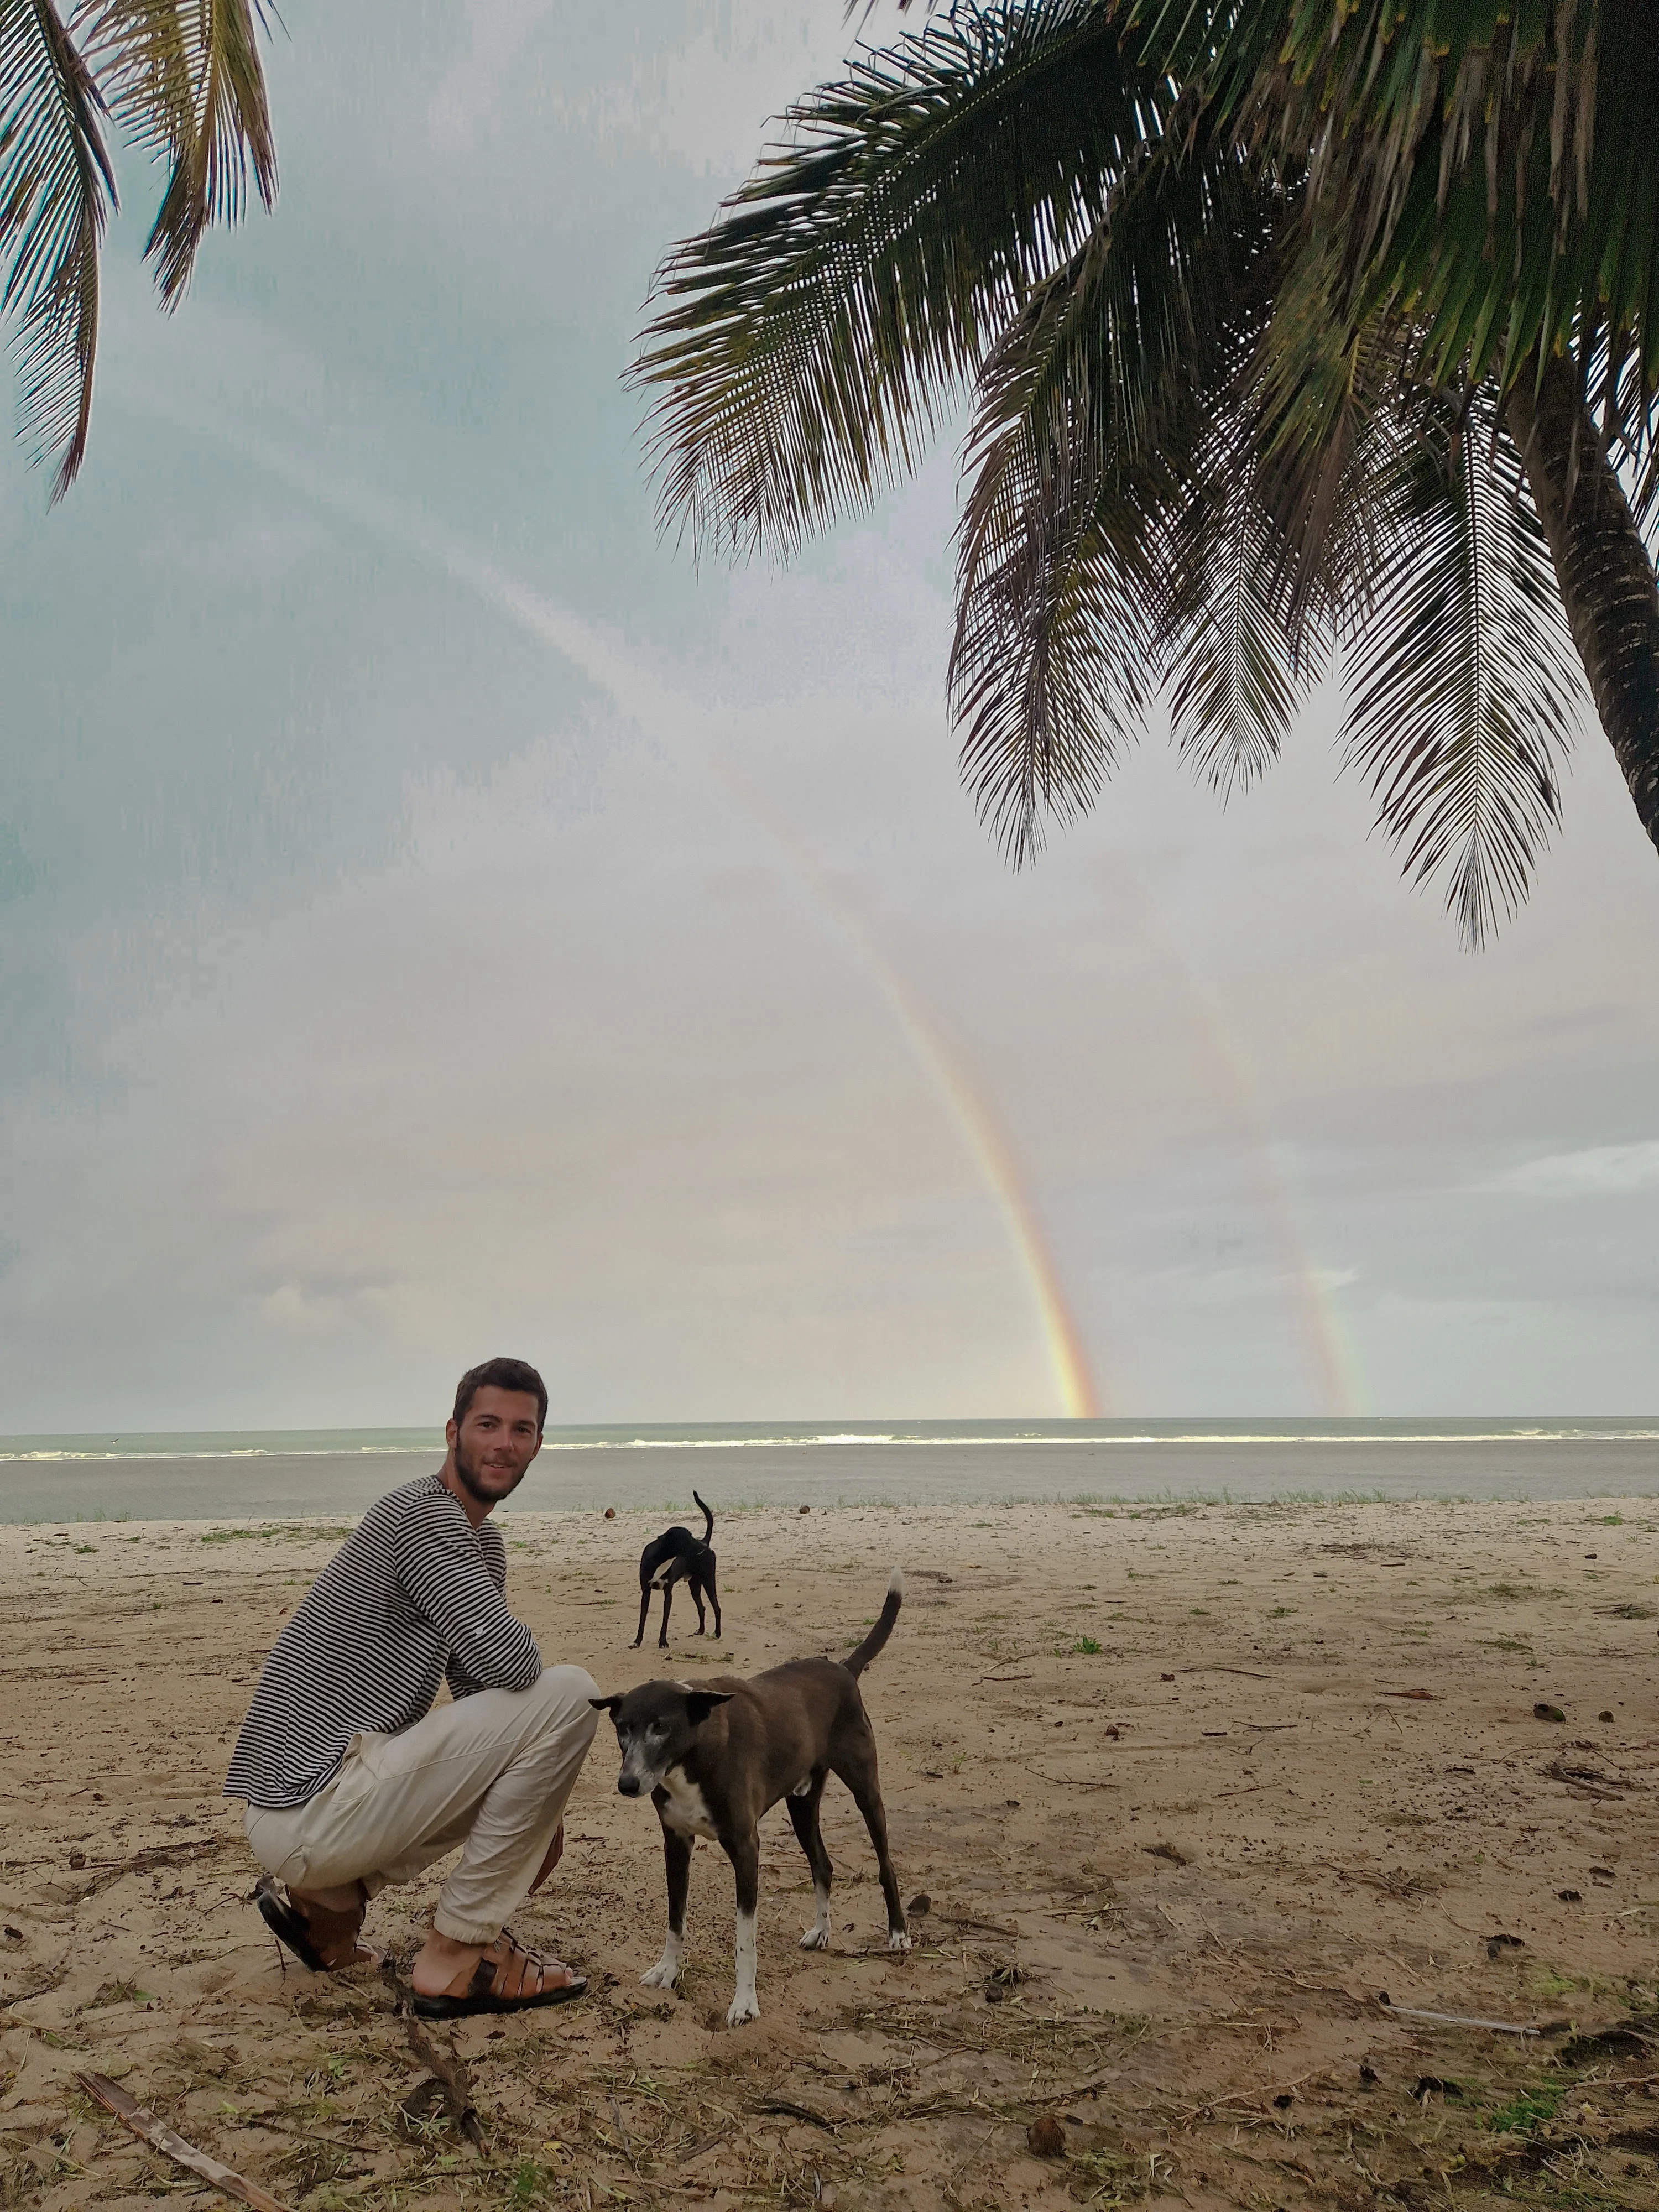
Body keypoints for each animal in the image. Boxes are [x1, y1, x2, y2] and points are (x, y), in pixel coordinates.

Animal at [593, 1575, 911, 2026]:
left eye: (662, 1727)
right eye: (622, 1728)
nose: (628, 1783)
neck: (695, 1754)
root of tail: (843, 1668)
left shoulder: (746, 1848)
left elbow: (745, 1940)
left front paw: (744, 2002)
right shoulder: (676, 1842)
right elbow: (676, 1918)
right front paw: (668, 1971)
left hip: (866, 1789)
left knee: (886, 1865)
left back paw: (898, 1931)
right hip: (802, 1804)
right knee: (823, 1865)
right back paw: (822, 1930)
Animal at [628, 1495, 721, 1655]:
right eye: (688, 1538)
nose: (703, 1548)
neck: (661, 1559)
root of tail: (705, 1541)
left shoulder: (668, 1593)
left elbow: (665, 1621)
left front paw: (663, 1642)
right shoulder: (646, 1592)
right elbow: (642, 1620)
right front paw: (637, 1642)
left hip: (709, 1580)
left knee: (717, 1608)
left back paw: (717, 1633)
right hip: (695, 1585)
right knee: (702, 1607)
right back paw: (701, 1630)